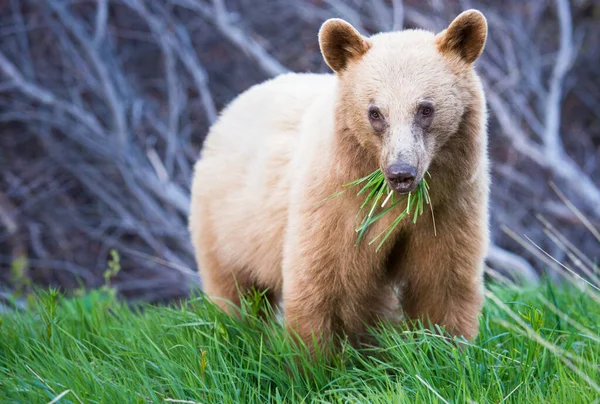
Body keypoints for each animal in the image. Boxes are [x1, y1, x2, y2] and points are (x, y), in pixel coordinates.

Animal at [190, 10, 490, 350]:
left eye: (425, 108)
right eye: (375, 112)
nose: (401, 173)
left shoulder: (447, 207)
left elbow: (441, 285)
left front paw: (447, 347)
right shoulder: (335, 207)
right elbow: (321, 283)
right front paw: (313, 357)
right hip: (227, 225)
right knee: (235, 292)